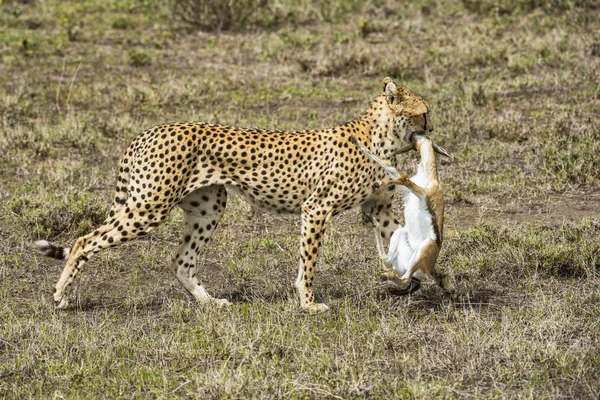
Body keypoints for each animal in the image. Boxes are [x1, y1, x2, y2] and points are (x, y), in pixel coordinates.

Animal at [38, 75, 436, 312]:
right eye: (424, 113)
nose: (432, 129)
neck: (381, 138)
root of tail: (148, 130)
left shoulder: (380, 209)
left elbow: (401, 241)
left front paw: (409, 281)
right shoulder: (316, 208)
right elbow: (308, 262)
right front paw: (309, 304)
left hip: (209, 206)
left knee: (180, 260)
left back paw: (210, 302)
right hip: (149, 207)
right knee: (84, 241)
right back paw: (61, 296)